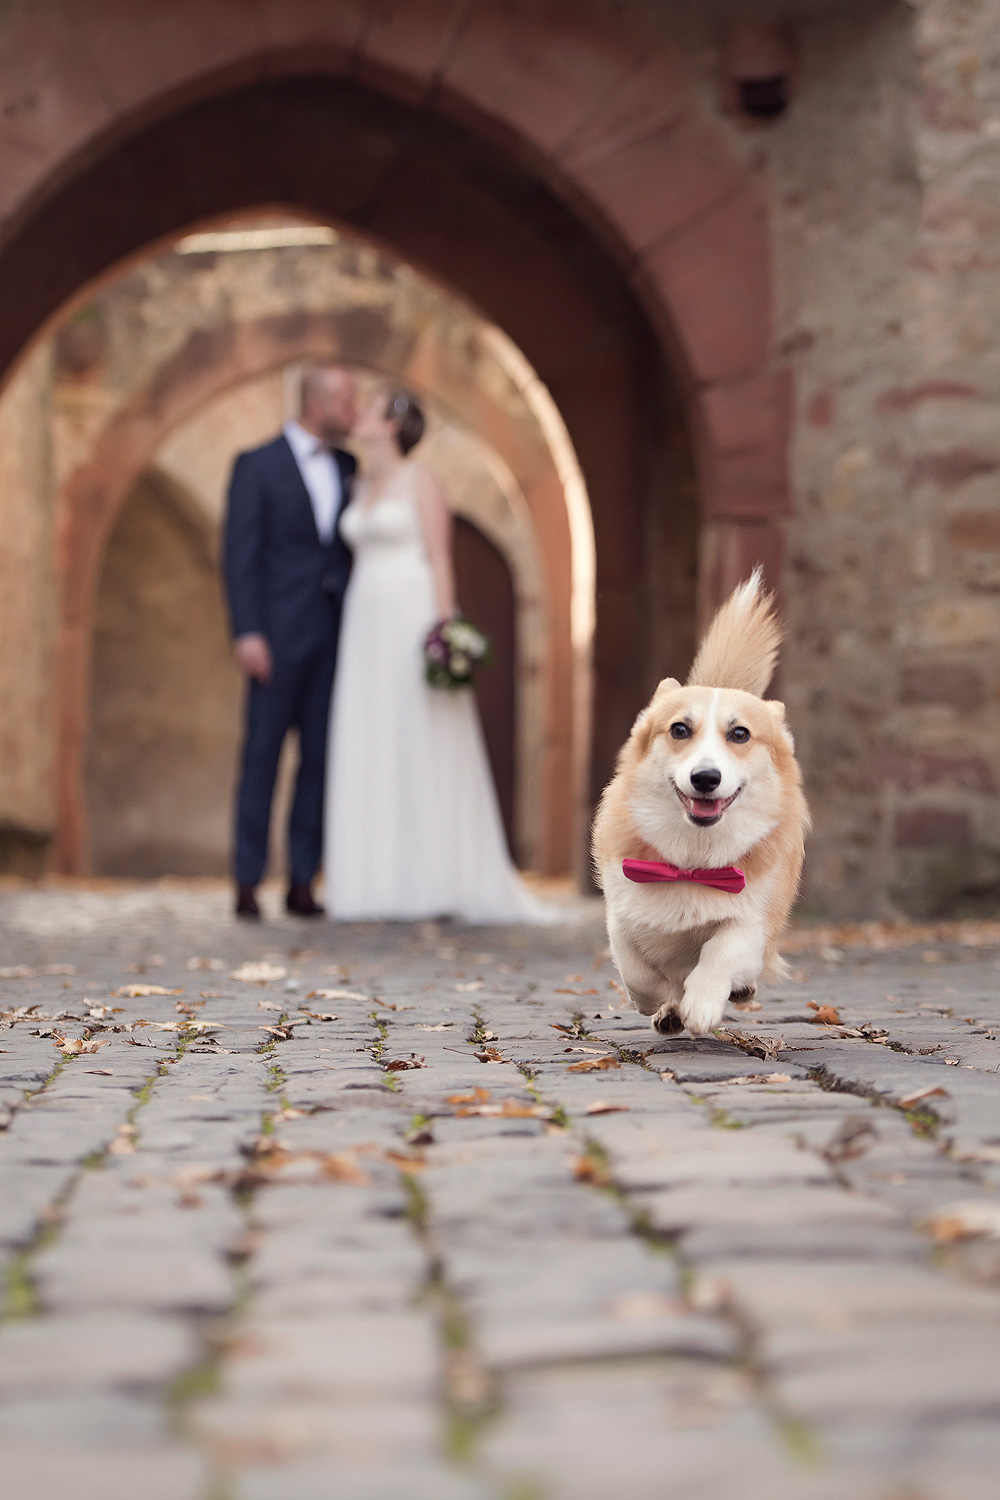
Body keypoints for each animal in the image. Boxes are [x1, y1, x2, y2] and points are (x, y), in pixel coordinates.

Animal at [590, 567, 809, 1038]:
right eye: (679, 729)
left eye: (740, 734)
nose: (706, 778)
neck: (691, 861)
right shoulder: (623, 915)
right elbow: (638, 972)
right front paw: (663, 1002)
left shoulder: (751, 921)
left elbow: (720, 951)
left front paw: (702, 1004)